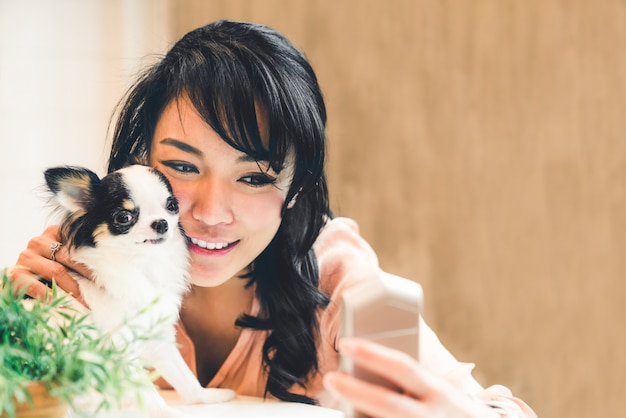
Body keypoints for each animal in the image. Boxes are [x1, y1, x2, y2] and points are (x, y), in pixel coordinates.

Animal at [44, 165, 234, 416]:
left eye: (172, 205)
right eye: (124, 217)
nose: (161, 223)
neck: (141, 264)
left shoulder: (158, 336)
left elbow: (185, 378)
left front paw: (208, 396)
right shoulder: (119, 347)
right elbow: (145, 389)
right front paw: (165, 412)